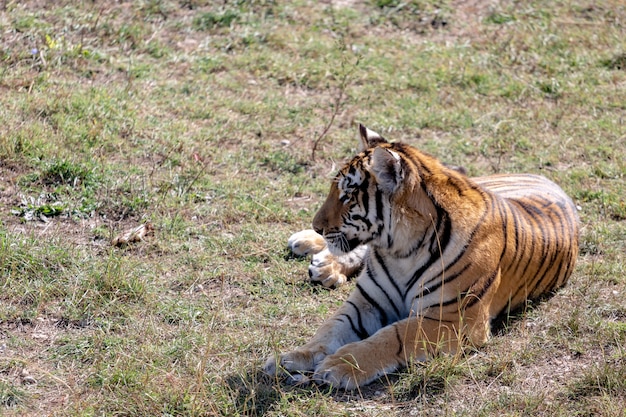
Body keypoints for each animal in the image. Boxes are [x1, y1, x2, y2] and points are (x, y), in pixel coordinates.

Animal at [262, 123, 576, 390]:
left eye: (347, 196)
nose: (317, 225)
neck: (400, 251)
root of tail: (542, 176)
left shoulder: (453, 319)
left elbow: (393, 336)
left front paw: (340, 365)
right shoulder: (365, 303)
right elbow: (329, 329)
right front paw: (290, 357)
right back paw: (313, 252)